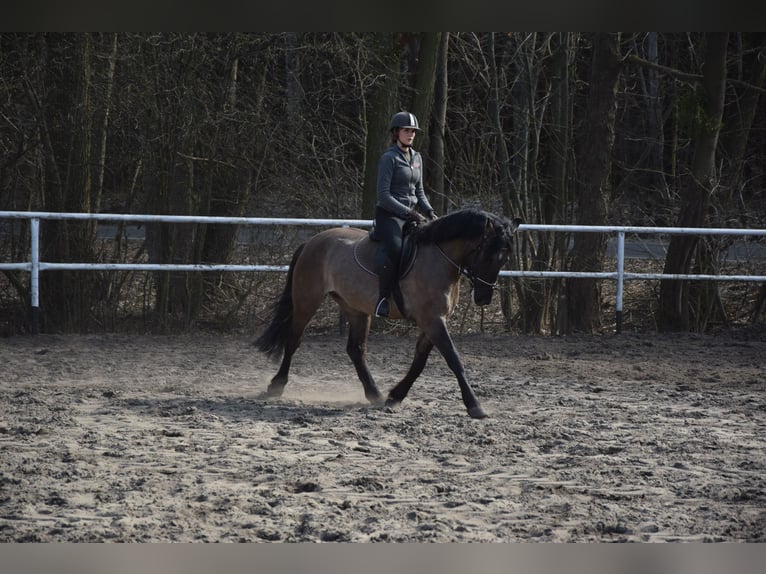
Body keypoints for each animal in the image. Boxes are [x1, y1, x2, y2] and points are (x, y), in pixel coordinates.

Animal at [255, 207, 521, 419]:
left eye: (504, 259)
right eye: (489, 255)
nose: (484, 298)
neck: (439, 258)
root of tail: (312, 242)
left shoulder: (433, 321)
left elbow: (419, 362)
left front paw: (395, 396)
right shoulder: (432, 320)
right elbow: (454, 359)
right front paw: (474, 406)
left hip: (356, 309)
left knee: (356, 350)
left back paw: (375, 394)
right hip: (307, 300)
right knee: (293, 340)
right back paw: (276, 386)